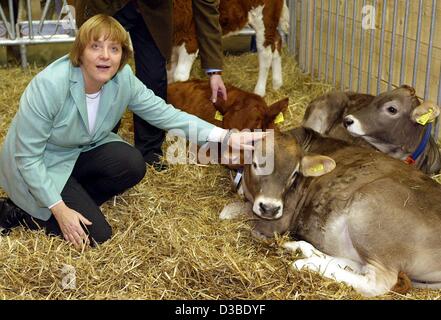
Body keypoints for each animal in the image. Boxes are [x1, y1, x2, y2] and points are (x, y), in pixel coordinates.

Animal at [222, 127, 440, 296]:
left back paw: (305, 264)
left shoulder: (278, 220)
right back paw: (304, 250)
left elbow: (237, 215)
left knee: (377, 282)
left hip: (371, 215)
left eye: (295, 174)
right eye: (256, 164)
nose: (269, 208)